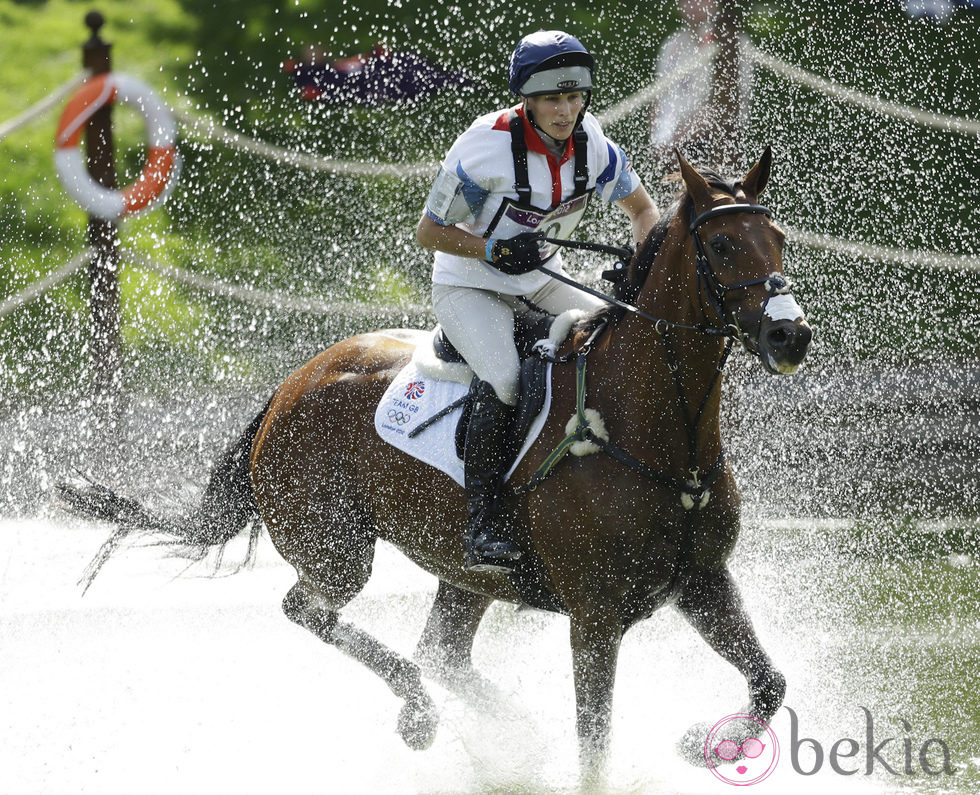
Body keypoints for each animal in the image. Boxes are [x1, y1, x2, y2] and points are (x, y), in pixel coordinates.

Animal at [59, 151, 812, 784]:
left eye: (777, 238)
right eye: (722, 246)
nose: (790, 334)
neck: (652, 430)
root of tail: (293, 382)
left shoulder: (702, 582)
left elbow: (769, 681)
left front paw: (706, 743)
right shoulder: (594, 617)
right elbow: (594, 745)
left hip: (463, 569)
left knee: (439, 652)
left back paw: (509, 733)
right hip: (338, 550)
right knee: (313, 610)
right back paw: (421, 713)